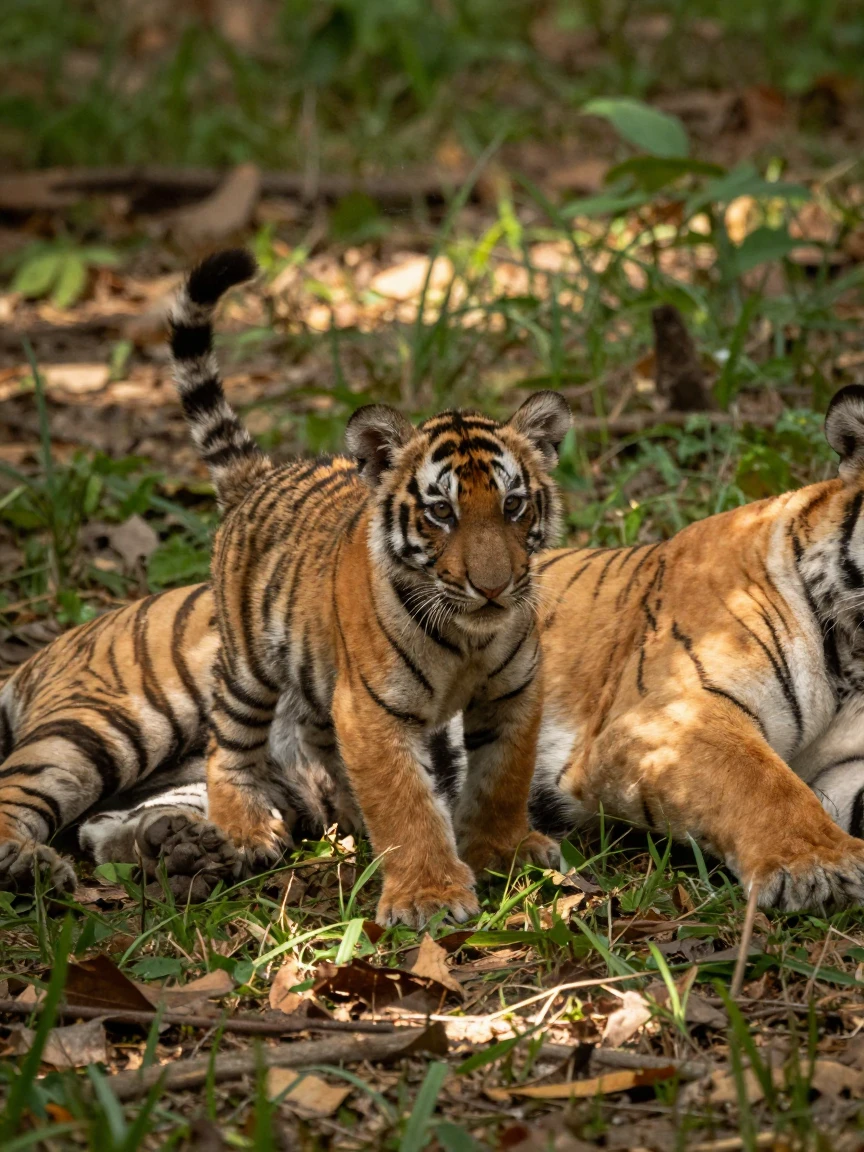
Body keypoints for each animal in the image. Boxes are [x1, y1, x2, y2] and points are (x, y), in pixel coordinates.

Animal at [0, 249, 571, 927]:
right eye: (441, 513)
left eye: (513, 505)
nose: (492, 587)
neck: (468, 638)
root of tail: (260, 478)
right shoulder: (374, 710)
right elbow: (406, 800)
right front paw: (429, 896)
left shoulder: (514, 694)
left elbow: (503, 778)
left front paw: (507, 851)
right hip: (149, 706)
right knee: (192, 754)